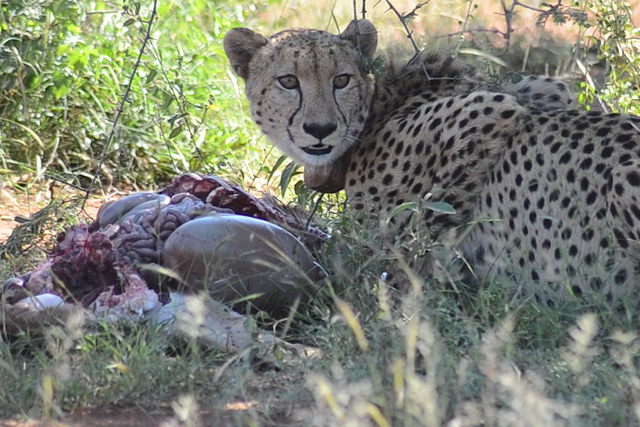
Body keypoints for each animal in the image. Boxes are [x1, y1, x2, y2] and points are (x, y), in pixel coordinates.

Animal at [224, 19, 640, 310]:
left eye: (341, 79)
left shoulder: (491, 109)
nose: (320, 129)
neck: (380, 106)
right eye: (288, 81)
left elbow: (414, 236)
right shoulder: (545, 89)